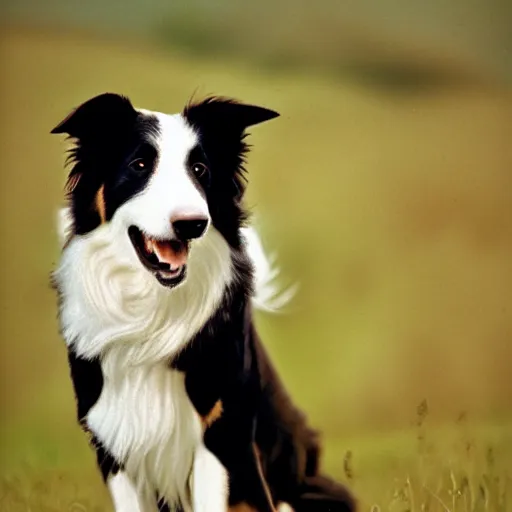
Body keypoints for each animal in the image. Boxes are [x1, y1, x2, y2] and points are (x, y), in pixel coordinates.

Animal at [52, 93, 356, 512]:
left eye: (200, 169)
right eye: (139, 165)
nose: (192, 223)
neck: (153, 312)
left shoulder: (222, 439)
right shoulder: (114, 445)